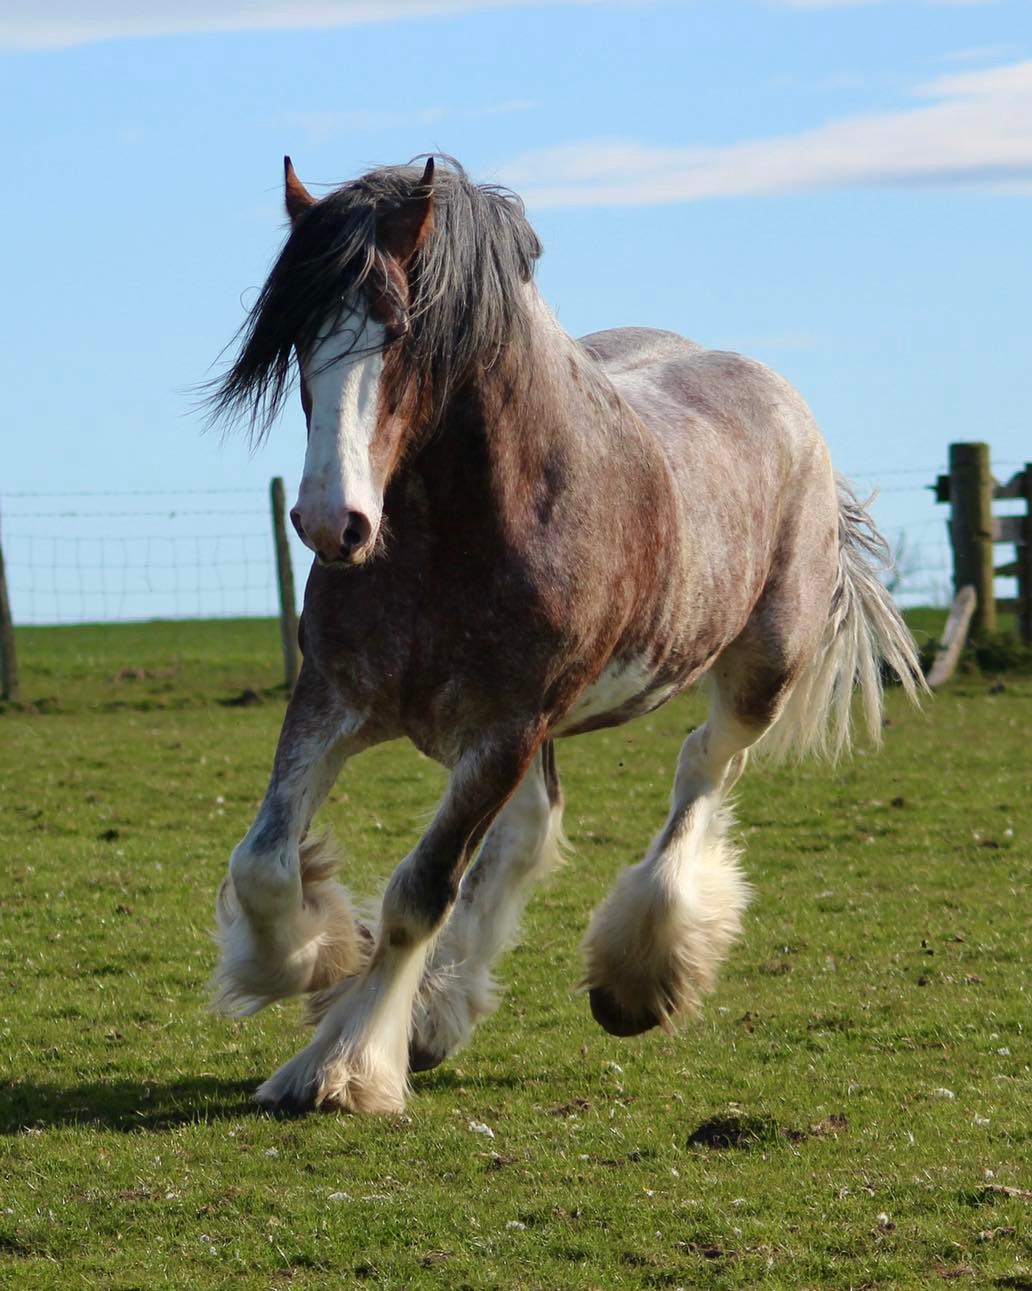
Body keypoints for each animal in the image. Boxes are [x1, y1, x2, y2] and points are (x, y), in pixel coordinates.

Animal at [205, 153, 924, 1120]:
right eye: (296, 338)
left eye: (402, 332)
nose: (332, 522)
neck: (458, 533)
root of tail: (785, 403)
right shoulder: (335, 698)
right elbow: (265, 861)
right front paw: (321, 960)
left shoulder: (507, 726)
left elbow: (420, 892)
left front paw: (344, 1065)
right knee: (529, 829)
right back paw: (437, 1014)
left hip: (754, 674)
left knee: (701, 767)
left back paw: (636, 976)